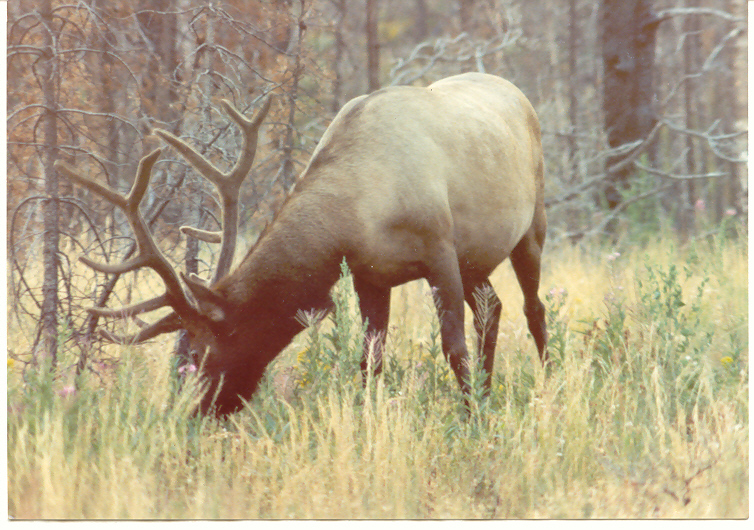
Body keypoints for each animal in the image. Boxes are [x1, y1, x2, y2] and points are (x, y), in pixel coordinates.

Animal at [54, 72, 548, 414]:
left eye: (195, 351)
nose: (194, 412)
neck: (359, 210)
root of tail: (517, 91)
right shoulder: (370, 275)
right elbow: (370, 359)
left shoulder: (440, 251)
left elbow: (453, 347)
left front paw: (472, 417)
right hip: (476, 259)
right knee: (493, 308)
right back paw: (492, 384)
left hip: (531, 228)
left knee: (533, 308)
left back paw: (546, 380)